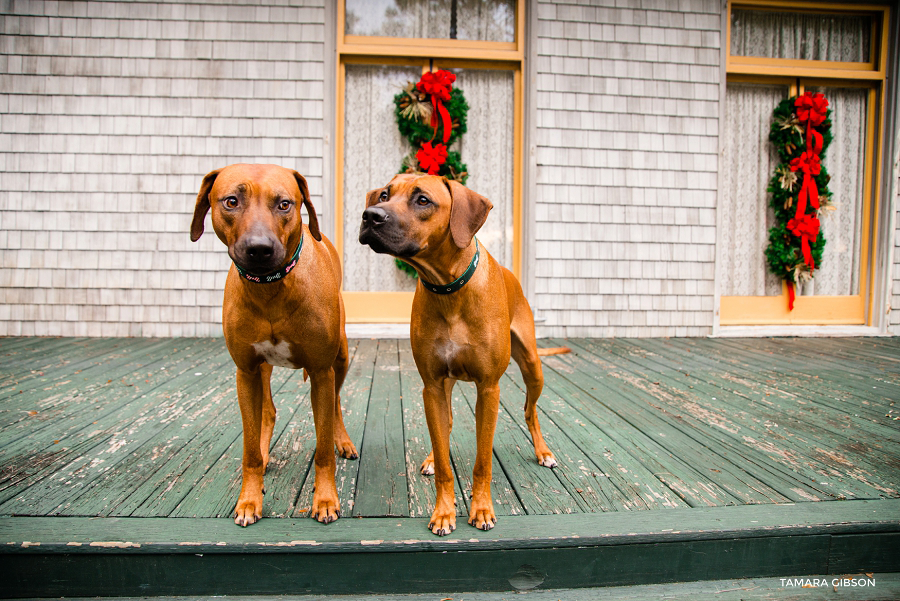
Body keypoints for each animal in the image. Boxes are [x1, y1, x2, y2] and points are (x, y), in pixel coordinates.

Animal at [192, 163, 358, 524]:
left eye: (284, 204)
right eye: (231, 201)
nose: (259, 248)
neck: (271, 288)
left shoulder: (321, 371)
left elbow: (323, 449)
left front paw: (326, 499)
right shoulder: (246, 371)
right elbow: (249, 449)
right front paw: (249, 499)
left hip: (340, 356)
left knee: (336, 402)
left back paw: (343, 441)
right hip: (262, 371)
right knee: (267, 411)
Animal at [358, 172, 564, 536]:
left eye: (422, 200)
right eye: (383, 195)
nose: (370, 215)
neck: (448, 289)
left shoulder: (489, 389)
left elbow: (483, 461)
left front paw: (481, 509)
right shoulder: (432, 386)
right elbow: (444, 460)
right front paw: (443, 511)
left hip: (533, 366)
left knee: (530, 411)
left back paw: (543, 452)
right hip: (445, 385)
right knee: (448, 422)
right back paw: (428, 458)